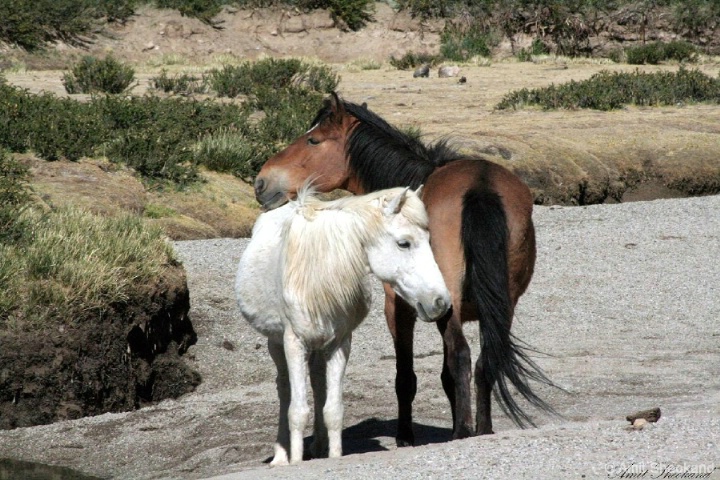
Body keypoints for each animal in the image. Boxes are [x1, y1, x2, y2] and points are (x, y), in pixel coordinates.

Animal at [236, 185, 450, 464]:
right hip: (277, 343)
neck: (320, 271)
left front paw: (334, 455)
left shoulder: (339, 344)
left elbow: (333, 409)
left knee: (317, 383)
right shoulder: (294, 343)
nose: (440, 302)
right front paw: (295, 461)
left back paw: (318, 447)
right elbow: (297, 411)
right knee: (284, 389)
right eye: (404, 243)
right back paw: (281, 457)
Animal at [253, 93, 556, 446]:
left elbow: (407, 377)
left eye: (313, 140)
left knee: (462, 356)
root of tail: (481, 184)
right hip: (504, 304)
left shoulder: (399, 307)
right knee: (485, 362)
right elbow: (447, 376)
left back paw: (462, 432)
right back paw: (481, 429)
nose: (262, 181)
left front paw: (406, 437)